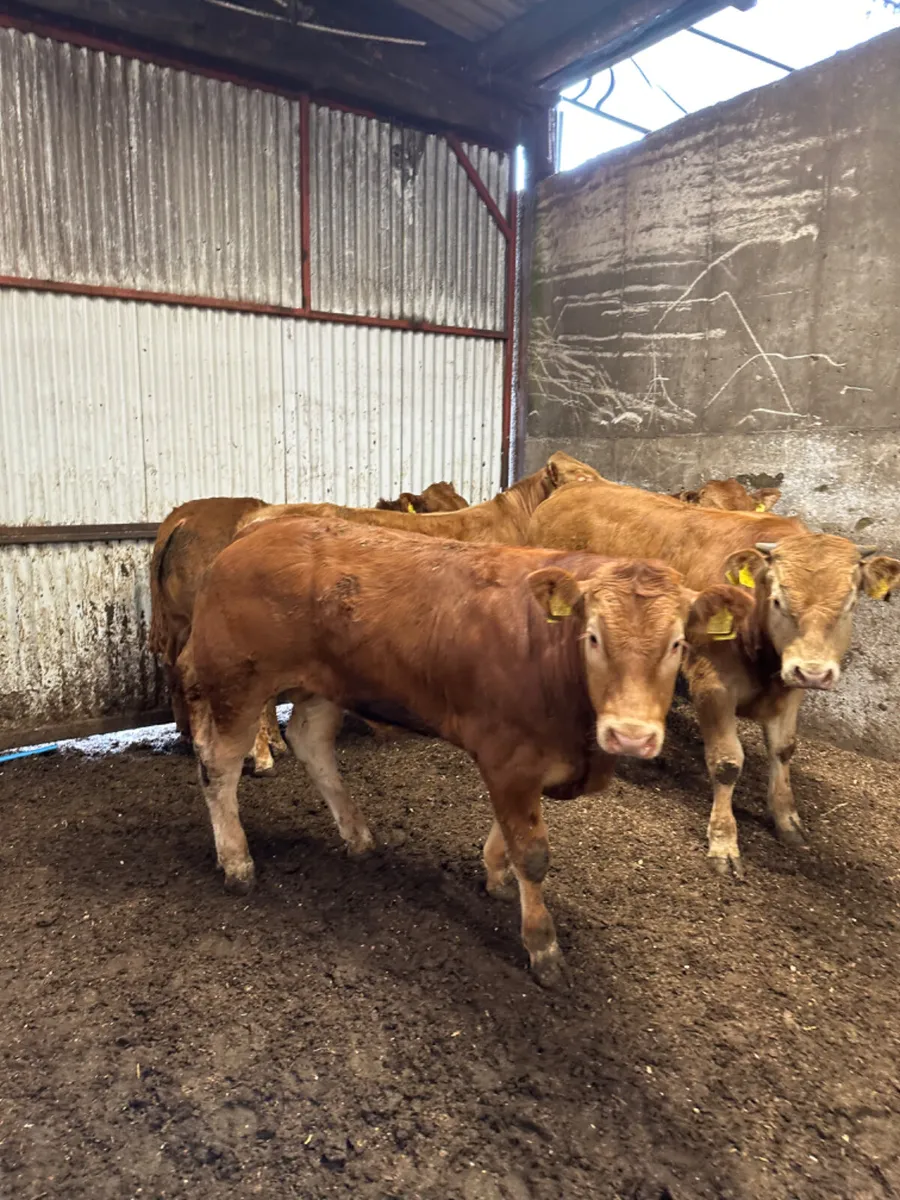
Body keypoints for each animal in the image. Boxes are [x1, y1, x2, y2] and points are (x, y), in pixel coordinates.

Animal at [179, 515, 751, 985]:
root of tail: (258, 529)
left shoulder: (521, 763)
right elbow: (533, 854)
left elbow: (510, 833)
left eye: (678, 643)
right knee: (218, 766)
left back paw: (358, 836)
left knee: (310, 741)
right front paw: (543, 947)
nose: (631, 734)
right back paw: (237, 862)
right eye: (592, 636)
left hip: (325, 682)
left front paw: (496, 875)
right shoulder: (508, 755)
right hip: (235, 681)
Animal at [526, 481, 900, 876]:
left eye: (850, 604)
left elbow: (784, 750)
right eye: (779, 599)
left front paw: (788, 818)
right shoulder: (712, 682)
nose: (812, 671)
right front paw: (724, 841)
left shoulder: (790, 687)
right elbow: (726, 762)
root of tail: (577, 485)